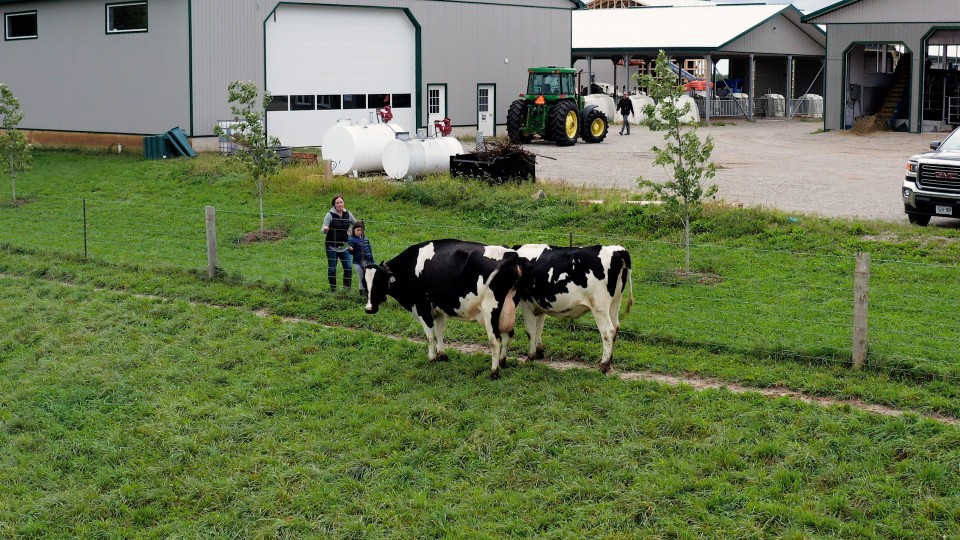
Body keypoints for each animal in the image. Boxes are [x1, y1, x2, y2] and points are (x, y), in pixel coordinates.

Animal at [362, 240, 524, 380]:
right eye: (364, 282)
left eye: (379, 281)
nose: (369, 309)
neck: (409, 268)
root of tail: (509, 252)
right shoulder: (439, 310)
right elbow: (440, 332)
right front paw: (442, 356)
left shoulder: (422, 308)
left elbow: (429, 336)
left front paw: (432, 358)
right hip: (508, 307)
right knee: (508, 334)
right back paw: (502, 362)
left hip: (490, 310)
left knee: (495, 340)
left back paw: (494, 372)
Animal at [512, 244, 632, 374]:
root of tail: (616, 250)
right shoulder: (540, 304)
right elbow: (539, 328)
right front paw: (539, 353)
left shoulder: (526, 303)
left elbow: (530, 331)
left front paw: (530, 357)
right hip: (615, 302)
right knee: (616, 327)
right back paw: (610, 361)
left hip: (600, 306)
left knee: (607, 331)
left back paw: (604, 365)